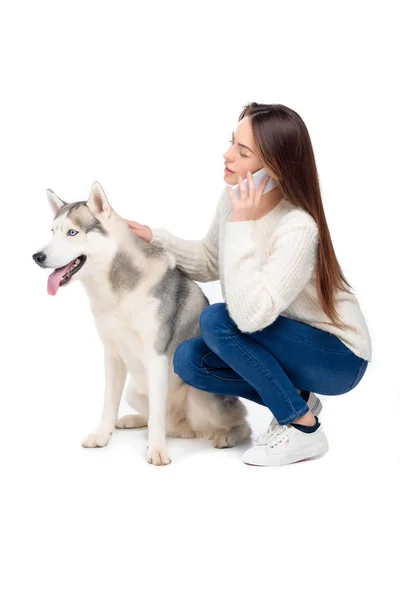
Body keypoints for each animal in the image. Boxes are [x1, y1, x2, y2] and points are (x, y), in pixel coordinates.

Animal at [32, 182, 250, 464]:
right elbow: (109, 403)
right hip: (135, 391)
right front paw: (102, 436)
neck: (115, 293)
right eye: (52, 232)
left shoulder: (156, 355)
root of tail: (182, 427)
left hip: (200, 398)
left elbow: (156, 413)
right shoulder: (112, 355)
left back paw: (226, 436)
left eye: (72, 232)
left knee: (240, 423)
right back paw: (133, 420)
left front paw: (156, 450)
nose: (37, 256)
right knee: (159, 419)